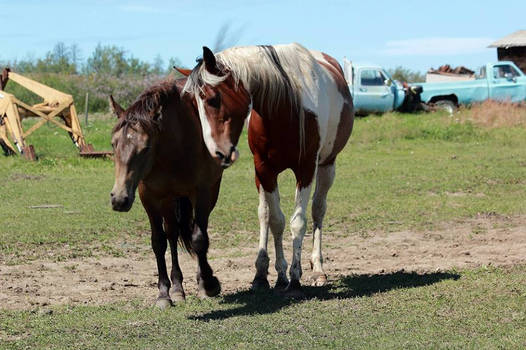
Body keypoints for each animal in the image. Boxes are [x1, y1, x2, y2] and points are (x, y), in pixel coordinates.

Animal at [109, 76, 252, 306]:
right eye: (114, 144)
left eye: (146, 147)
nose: (119, 199)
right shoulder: (149, 197)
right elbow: (158, 242)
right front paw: (163, 294)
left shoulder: (201, 192)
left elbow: (199, 238)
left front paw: (209, 283)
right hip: (169, 199)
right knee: (172, 233)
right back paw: (177, 288)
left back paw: (201, 282)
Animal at [182, 43, 354, 296]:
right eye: (194, 105)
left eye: (213, 99)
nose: (216, 151)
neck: (285, 106)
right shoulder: (264, 169)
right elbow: (275, 221)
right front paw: (278, 276)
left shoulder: (305, 169)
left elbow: (297, 222)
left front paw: (295, 279)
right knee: (265, 214)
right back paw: (263, 275)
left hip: (326, 166)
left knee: (317, 210)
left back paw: (317, 269)